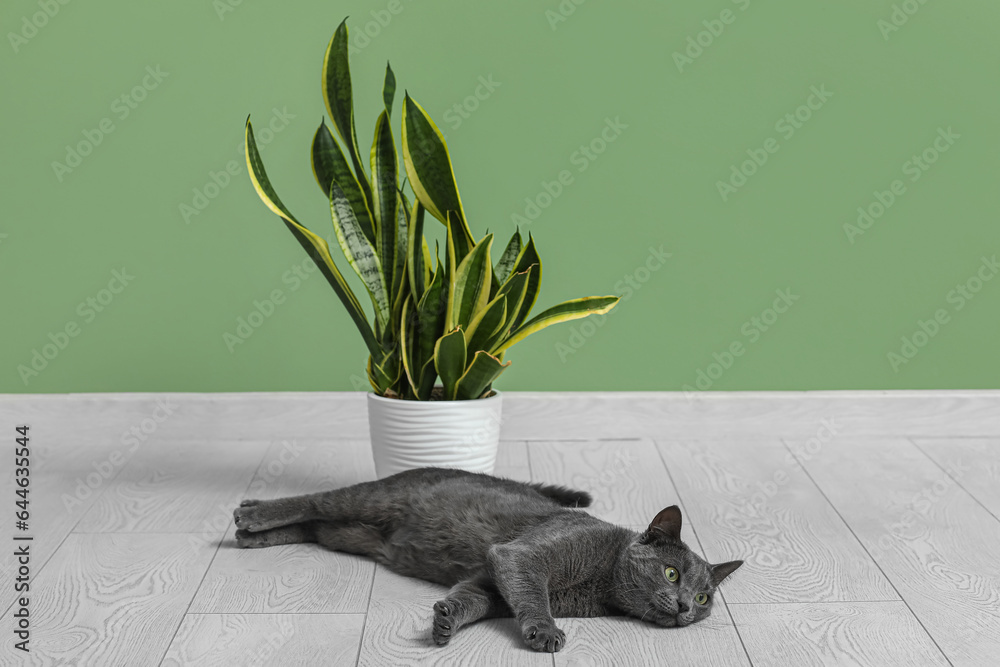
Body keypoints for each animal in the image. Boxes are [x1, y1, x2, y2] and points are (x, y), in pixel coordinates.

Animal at [232, 468, 744, 656]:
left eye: (704, 598)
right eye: (672, 573)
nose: (685, 607)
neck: (602, 585)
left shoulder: (492, 582)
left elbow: (474, 598)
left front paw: (445, 620)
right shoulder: (522, 557)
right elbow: (533, 596)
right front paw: (546, 632)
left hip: (353, 534)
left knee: (315, 524)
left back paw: (252, 536)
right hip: (371, 500)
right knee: (315, 500)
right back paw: (251, 513)